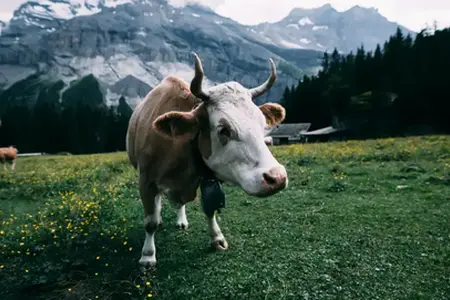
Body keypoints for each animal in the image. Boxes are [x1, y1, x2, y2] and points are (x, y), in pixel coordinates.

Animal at [125, 52, 288, 268]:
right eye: (223, 129)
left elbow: (210, 208)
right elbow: (150, 222)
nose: (277, 177)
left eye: (263, 124)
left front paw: (217, 238)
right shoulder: (146, 180)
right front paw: (147, 255)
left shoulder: (207, 178)